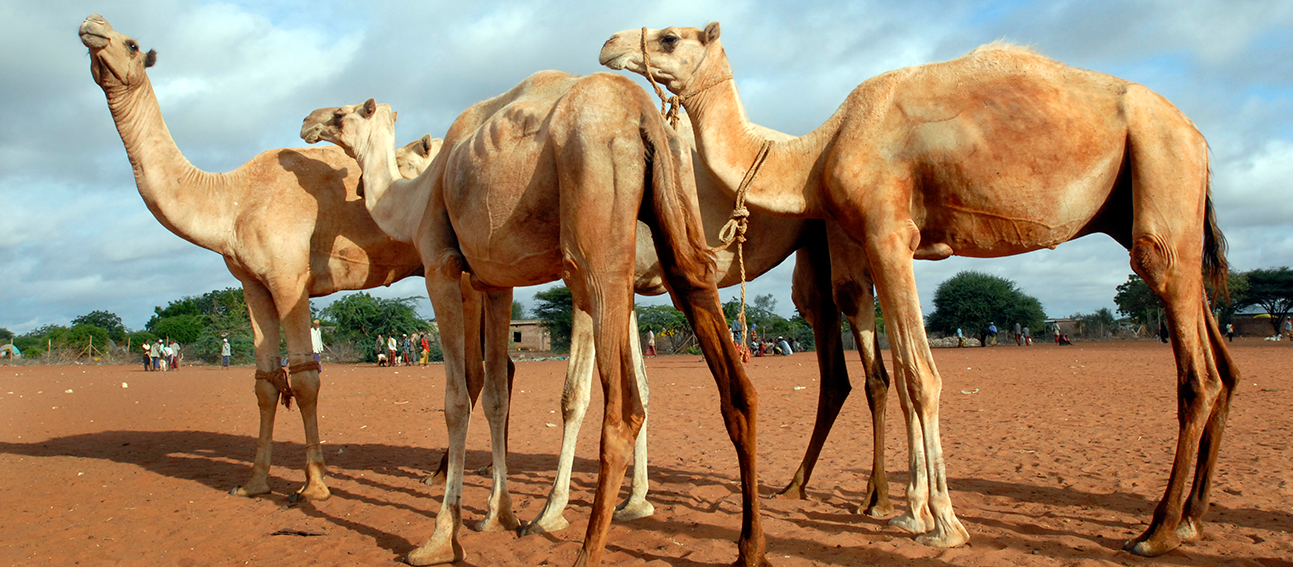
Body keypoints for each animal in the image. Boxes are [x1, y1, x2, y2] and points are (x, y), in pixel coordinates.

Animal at [80, 14, 440, 503]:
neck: (231, 198)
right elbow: (266, 381)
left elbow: (305, 377)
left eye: (131, 43)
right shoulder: (251, 282)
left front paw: (314, 485)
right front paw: (254, 483)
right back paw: (439, 475)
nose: (92, 25)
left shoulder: (290, 276)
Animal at [301, 72, 760, 566]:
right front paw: (498, 515)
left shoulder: (440, 264)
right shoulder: (494, 281)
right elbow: (496, 394)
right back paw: (747, 546)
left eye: (342, 113)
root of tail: (642, 112)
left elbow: (458, 398)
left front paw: (441, 537)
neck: (416, 197)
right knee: (730, 376)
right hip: (675, 215)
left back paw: (585, 550)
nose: (307, 120)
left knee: (623, 409)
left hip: (594, 230)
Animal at [602, 23, 1238, 557]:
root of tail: (1199, 136)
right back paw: (1190, 519)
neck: (817, 150)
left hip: (1162, 169)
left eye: (669, 37)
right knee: (1217, 359)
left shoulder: (888, 230)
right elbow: (902, 374)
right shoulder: (881, 243)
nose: (609, 44)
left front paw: (945, 525)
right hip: (1135, 205)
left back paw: (1157, 532)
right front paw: (911, 513)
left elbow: (921, 376)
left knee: (1193, 362)